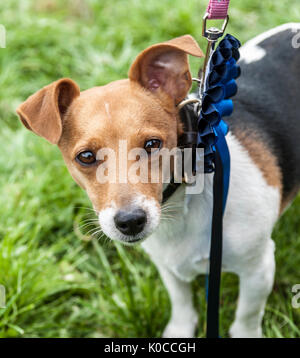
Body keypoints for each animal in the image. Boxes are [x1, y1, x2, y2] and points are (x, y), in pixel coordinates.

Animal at [16, 23, 300, 338]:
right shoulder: (168, 264)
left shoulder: (258, 268)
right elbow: (181, 303)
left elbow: (246, 319)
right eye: (86, 156)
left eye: (152, 144)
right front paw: (179, 330)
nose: (130, 222)